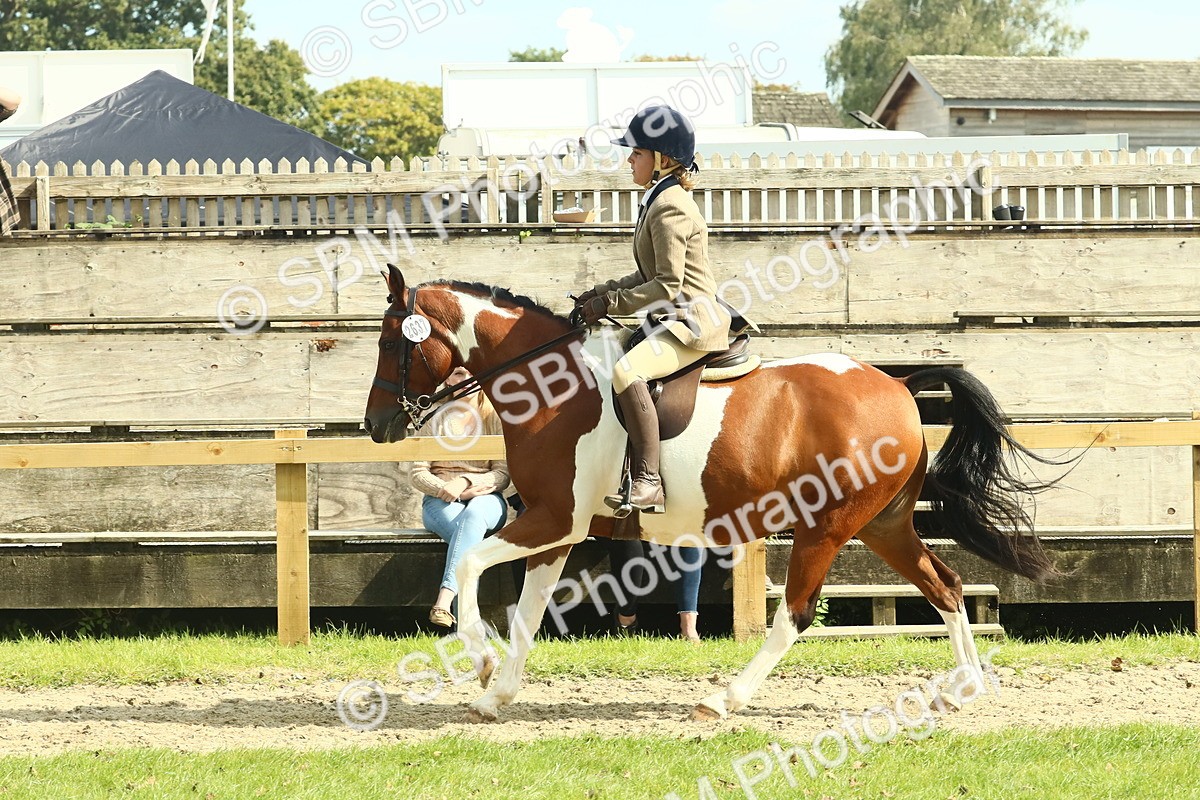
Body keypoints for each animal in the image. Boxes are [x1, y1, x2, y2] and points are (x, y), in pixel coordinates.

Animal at [363, 265, 1064, 723]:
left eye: (391, 341)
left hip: (826, 528)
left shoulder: (554, 519)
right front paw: (496, 694)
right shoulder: (557, 529)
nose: (377, 426)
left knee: (796, 615)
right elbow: (528, 611)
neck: (549, 385)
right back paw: (963, 687)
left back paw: (722, 699)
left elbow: (473, 566)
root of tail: (896, 384)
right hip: (884, 526)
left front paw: (480, 663)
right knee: (946, 585)